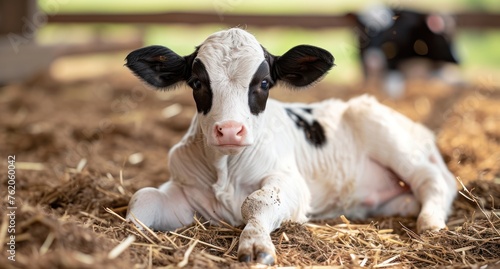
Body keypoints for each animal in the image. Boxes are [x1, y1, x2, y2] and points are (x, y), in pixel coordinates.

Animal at [125, 27, 458, 264]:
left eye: (263, 83)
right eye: (197, 83)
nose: (230, 130)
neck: (226, 171)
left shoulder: (292, 183)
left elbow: (258, 200)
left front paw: (256, 244)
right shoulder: (183, 191)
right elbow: (145, 196)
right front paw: (127, 235)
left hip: (386, 133)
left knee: (433, 179)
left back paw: (430, 221)